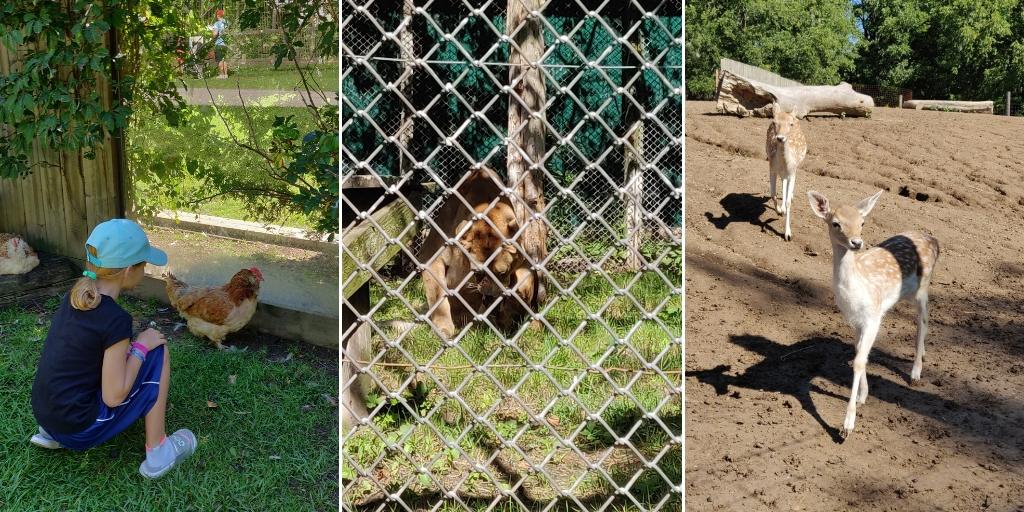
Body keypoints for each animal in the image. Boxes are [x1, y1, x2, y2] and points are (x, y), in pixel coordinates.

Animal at [419, 165, 540, 337]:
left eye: (502, 272)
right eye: (477, 273)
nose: (489, 296)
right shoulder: (430, 256)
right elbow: (438, 295)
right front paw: (443, 329)